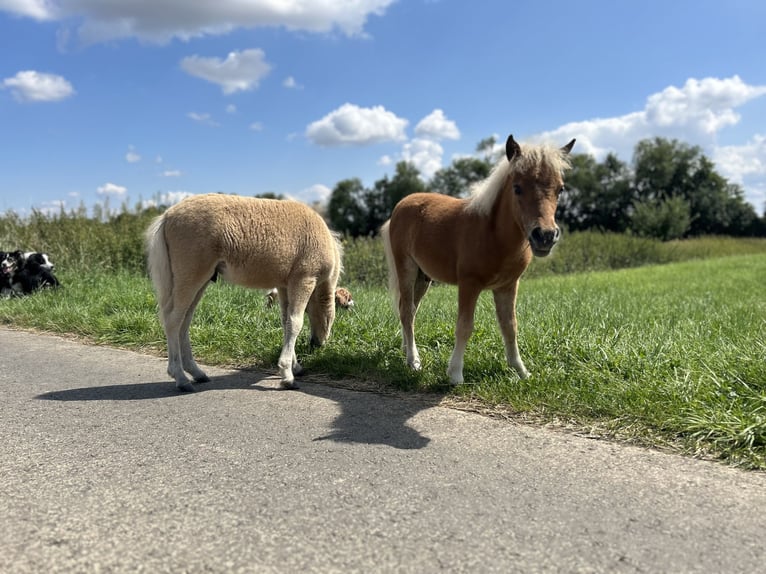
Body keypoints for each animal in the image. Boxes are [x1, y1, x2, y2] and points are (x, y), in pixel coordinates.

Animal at [146, 194, 344, 392]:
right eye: (331, 316)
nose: (317, 344)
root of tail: (167, 215)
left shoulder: (284, 285)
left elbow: (286, 321)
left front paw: (295, 367)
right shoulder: (304, 279)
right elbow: (295, 322)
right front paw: (288, 376)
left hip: (200, 280)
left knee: (184, 321)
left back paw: (196, 372)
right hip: (191, 275)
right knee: (173, 320)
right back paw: (180, 377)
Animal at [384, 136, 576, 388]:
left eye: (560, 189)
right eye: (517, 188)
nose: (544, 236)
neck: (493, 234)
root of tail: (399, 208)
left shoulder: (507, 286)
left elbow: (510, 326)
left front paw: (521, 371)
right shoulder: (469, 284)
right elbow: (465, 326)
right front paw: (455, 374)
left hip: (423, 278)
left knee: (409, 311)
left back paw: (407, 350)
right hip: (406, 269)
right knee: (407, 311)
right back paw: (413, 361)